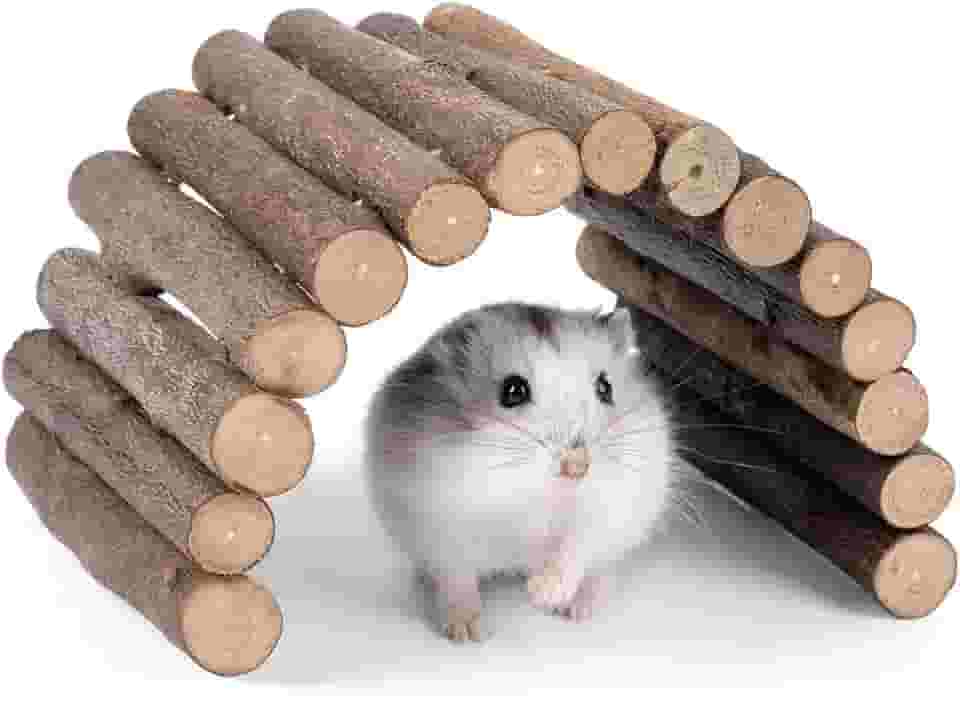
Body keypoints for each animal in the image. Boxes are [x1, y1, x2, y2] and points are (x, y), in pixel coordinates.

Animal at [365, 302, 674, 641]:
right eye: (513, 391)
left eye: (605, 387)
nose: (577, 467)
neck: (535, 492)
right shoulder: (440, 522)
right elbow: (457, 577)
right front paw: (466, 633)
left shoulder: (609, 508)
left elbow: (576, 548)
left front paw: (542, 595)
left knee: (600, 570)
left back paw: (578, 610)